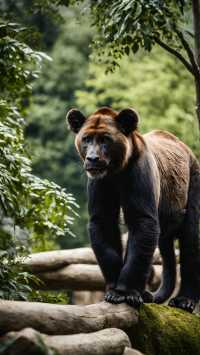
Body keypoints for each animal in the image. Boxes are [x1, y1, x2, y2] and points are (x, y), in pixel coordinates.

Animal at [66, 107, 200, 312]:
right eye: (86, 138)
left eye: (105, 139)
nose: (93, 159)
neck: (116, 172)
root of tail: (184, 147)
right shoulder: (101, 184)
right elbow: (104, 226)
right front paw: (114, 288)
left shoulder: (138, 177)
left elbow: (142, 224)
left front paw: (125, 292)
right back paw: (148, 293)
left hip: (191, 185)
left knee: (191, 237)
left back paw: (184, 300)